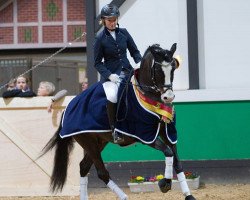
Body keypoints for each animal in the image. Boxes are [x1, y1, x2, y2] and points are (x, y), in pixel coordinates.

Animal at [40, 43, 195, 200]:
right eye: (157, 69)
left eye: (173, 68)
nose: (168, 97)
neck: (148, 96)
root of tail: (69, 107)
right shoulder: (144, 135)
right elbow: (168, 152)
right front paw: (165, 183)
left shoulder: (168, 132)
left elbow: (177, 162)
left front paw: (188, 195)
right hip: (88, 142)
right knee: (102, 173)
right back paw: (124, 197)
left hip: (99, 142)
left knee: (84, 167)